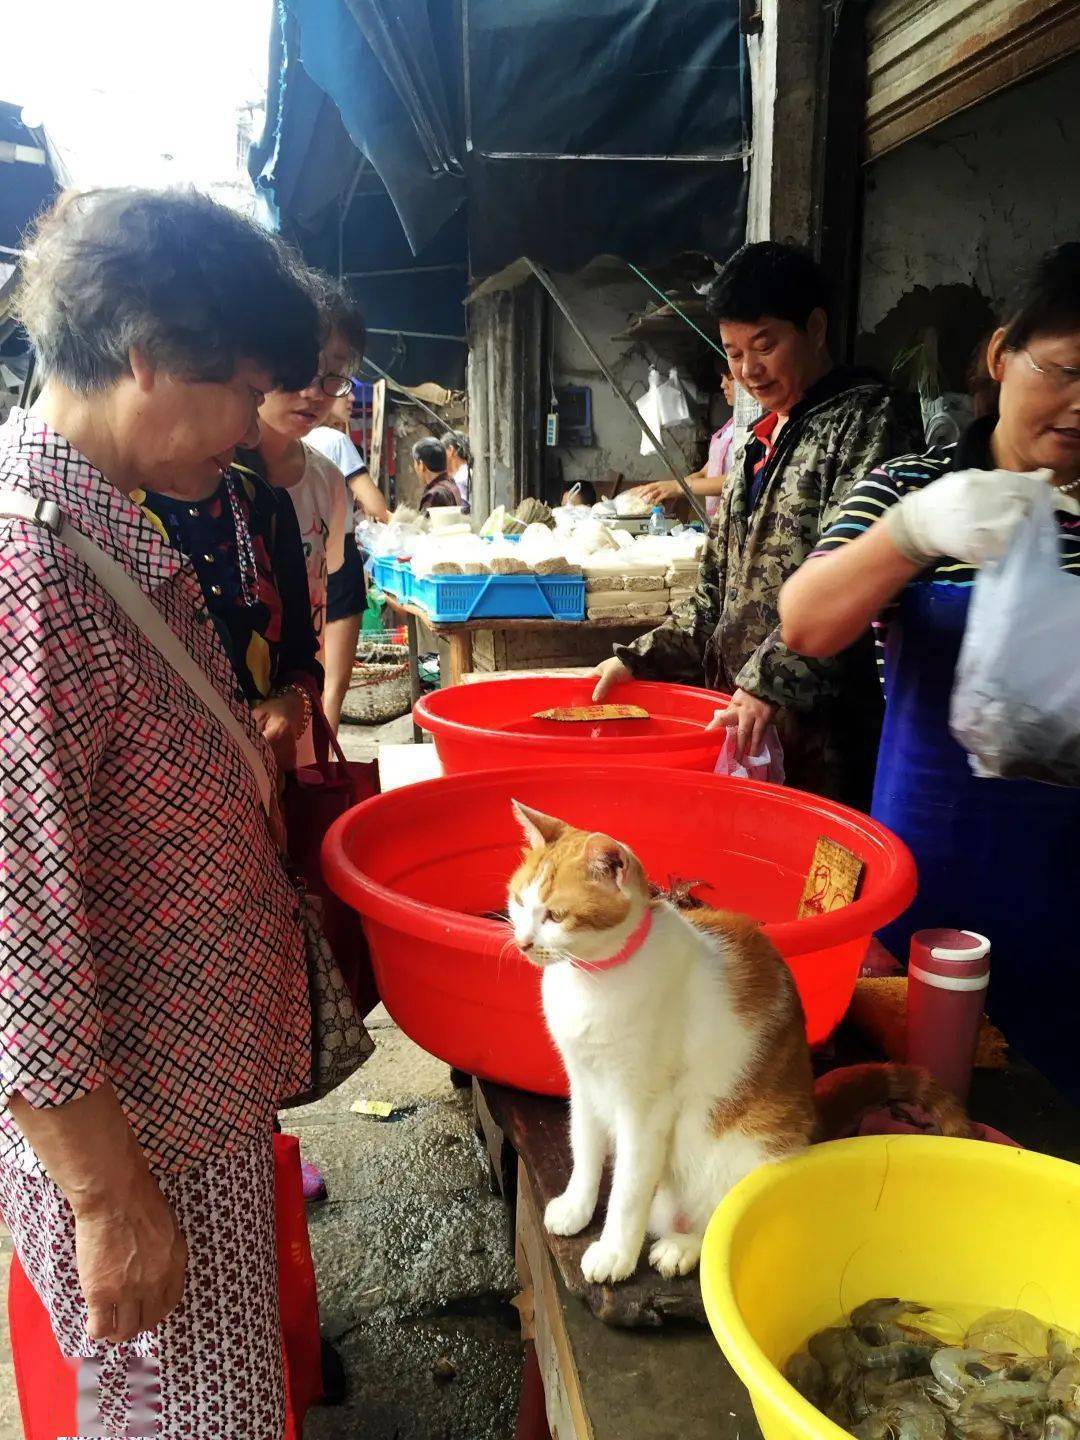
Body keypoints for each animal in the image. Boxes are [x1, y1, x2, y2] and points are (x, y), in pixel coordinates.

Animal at [509, 806, 973, 1290]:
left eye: (556, 916)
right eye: (519, 902)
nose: (523, 942)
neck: (592, 979)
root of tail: (810, 1114)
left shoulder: (645, 1107)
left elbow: (629, 1190)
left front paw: (615, 1252)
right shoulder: (584, 1083)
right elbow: (583, 1150)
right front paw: (576, 1208)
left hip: (744, 1154)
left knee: (723, 1223)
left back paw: (682, 1246)